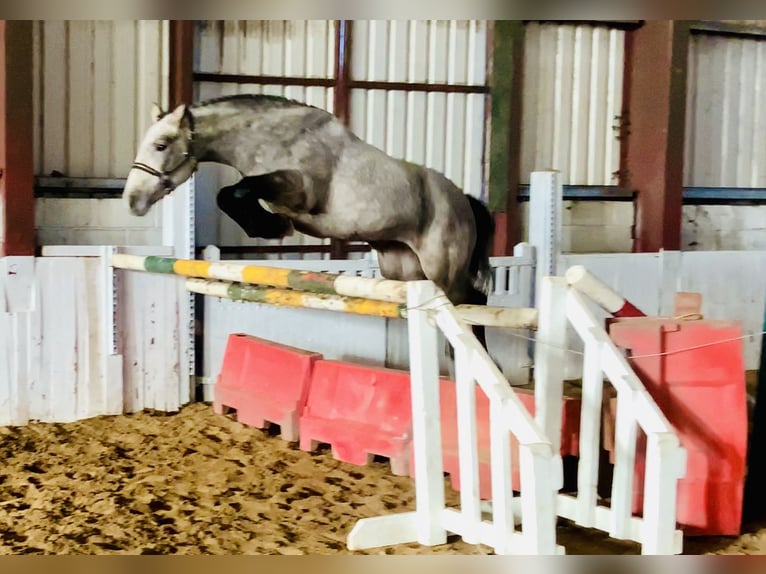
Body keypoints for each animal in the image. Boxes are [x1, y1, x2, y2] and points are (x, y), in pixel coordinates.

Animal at [122, 94, 495, 332]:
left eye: (161, 145)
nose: (132, 201)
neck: (270, 139)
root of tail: (463, 201)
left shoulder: (301, 191)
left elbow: (236, 191)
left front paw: (272, 226)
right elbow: (229, 194)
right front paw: (268, 225)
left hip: (442, 272)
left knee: (472, 305)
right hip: (403, 270)